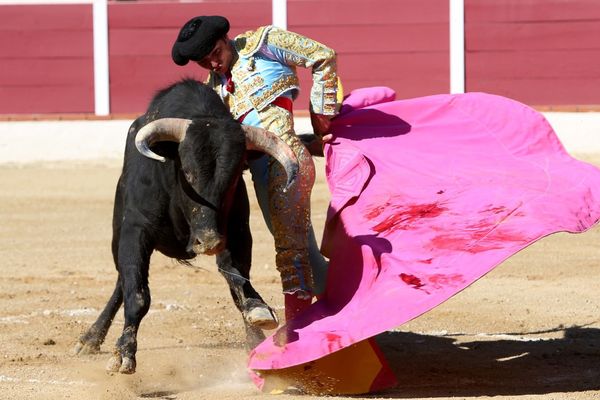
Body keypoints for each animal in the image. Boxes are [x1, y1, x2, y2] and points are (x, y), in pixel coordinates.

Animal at [75, 79, 308, 376]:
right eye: (187, 172)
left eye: (234, 178)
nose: (207, 242)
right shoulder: (135, 230)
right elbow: (137, 295)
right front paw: (124, 354)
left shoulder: (236, 233)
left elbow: (238, 280)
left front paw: (257, 326)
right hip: (119, 235)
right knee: (123, 282)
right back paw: (90, 339)